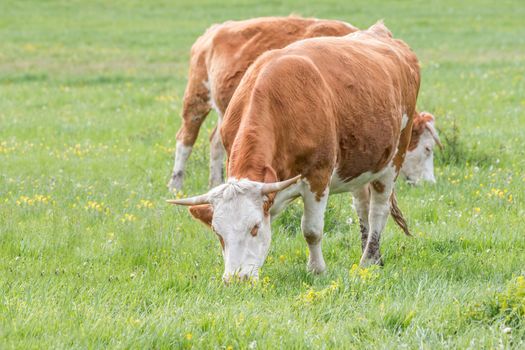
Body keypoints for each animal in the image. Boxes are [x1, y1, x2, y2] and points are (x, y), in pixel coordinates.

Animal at [168, 15, 356, 191]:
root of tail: (214, 29)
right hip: (197, 96)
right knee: (185, 139)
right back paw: (175, 185)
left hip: (225, 111)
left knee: (215, 141)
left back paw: (215, 183)